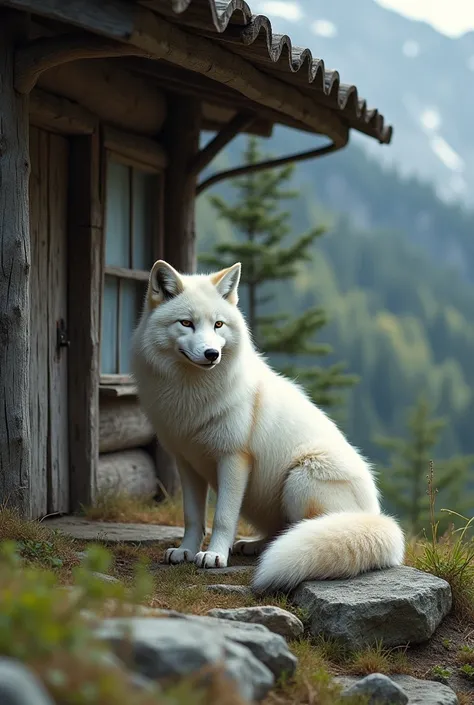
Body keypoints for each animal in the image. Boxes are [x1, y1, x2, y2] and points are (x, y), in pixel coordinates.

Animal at [131, 258, 406, 588]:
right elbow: (193, 517)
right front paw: (185, 551)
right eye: (186, 323)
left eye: (218, 325)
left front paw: (215, 556)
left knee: (300, 530)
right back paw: (255, 546)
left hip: (300, 479)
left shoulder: (234, 458)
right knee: (278, 531)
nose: (212, 354)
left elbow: (222, 517)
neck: (191, 395)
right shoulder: (187, 463)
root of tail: (375, 516)